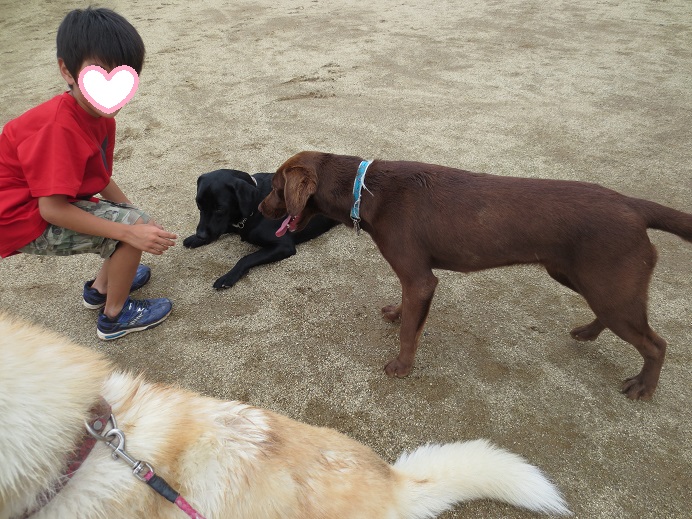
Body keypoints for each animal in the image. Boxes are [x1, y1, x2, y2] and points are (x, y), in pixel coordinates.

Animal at [184, 169, 337, 289]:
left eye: (219, 208)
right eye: (198, 205)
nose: (201, 235)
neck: (254, 207)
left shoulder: (284, 246)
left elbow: (246, 258)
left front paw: (229, 276)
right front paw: (194, 239)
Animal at [258, 151, 692, 400]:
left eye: (276, 187)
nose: (260, 209)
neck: (366, 189)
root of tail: (633, 206)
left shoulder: (420, 279)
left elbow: (410, 332)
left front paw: (401, 367)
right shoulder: (412, 279)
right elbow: (404, 309)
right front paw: (396, 314)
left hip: (609, 286)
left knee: (657, 344)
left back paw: (643, 387)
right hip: (582, 279)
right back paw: (586, 333)